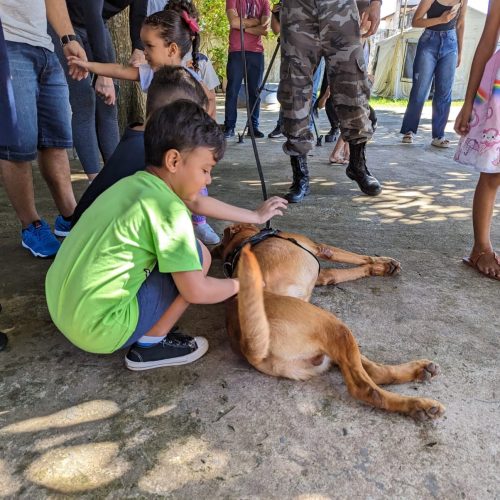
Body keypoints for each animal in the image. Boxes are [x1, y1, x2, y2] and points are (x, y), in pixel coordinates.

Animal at [215, 225, 446, 420]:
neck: (246, 240)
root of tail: (248, 346)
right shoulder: (321, 248)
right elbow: (358, 257)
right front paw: (381, 262)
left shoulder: (324, 275)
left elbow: (343, 271)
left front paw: (380, 267)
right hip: (332, 325)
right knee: (364, 387)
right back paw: (418, 405)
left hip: (332, 339)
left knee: (375, 371)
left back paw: (420, 371)